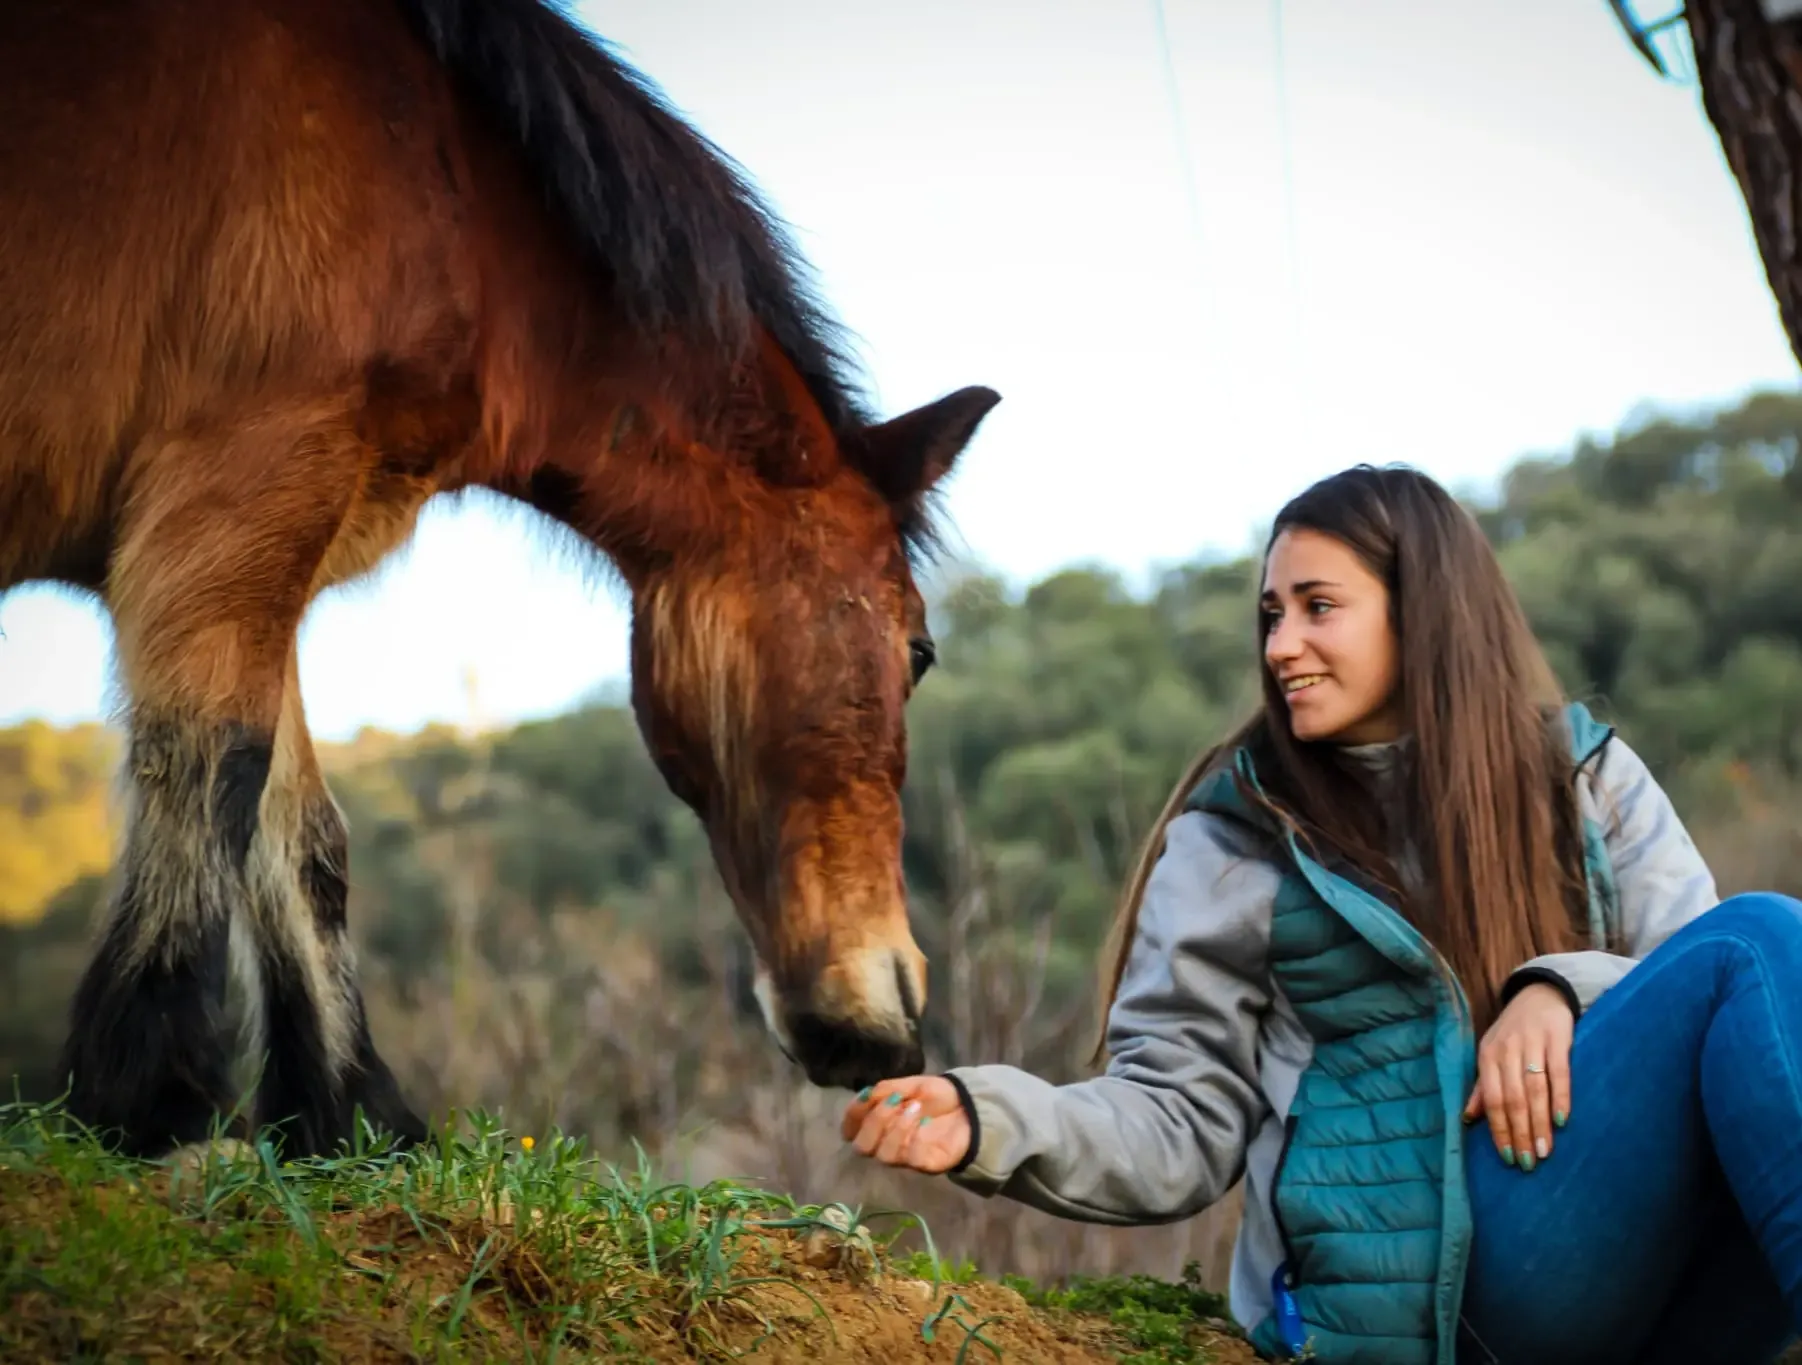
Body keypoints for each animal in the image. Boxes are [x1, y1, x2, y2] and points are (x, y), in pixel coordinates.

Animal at [0, 0, 1001, 1161]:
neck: (448, 189)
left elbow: (304, 836)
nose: (891, 1032)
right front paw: (151, 1093)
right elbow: (217, 768)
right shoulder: (239, 496)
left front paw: (353, 1115)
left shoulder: (265, 541)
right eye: (919, 650)